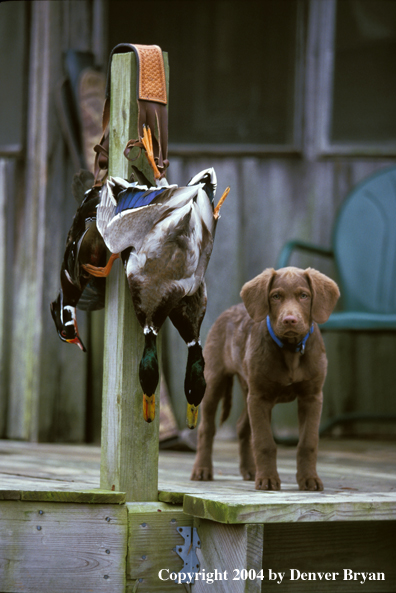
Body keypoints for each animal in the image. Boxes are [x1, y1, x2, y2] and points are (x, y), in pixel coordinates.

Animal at [192, 266, 340, 488]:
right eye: (276, 296)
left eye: (304, 296)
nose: (290, 320)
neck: (290, 350)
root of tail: (230, 309)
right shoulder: (260, 398)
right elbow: (264, 442)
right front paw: (268, 479)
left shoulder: (312, 397)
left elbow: (308, 442)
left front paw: (309, 479)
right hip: (214, 381)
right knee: (206, 428)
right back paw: (202, 469)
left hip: (248, 391)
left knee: (242, 427)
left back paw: (250, 470)